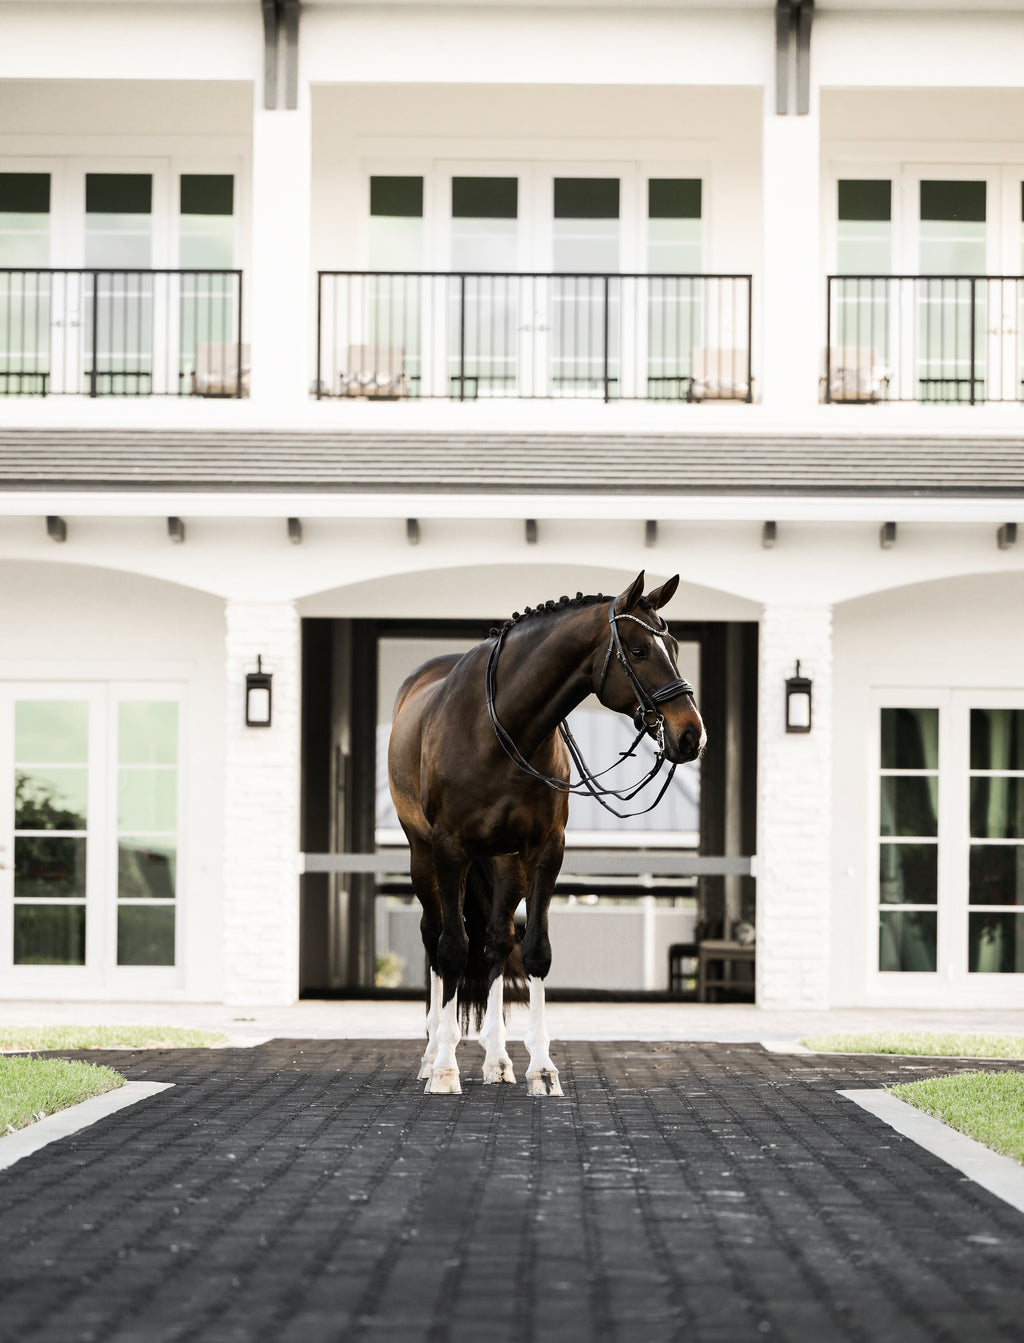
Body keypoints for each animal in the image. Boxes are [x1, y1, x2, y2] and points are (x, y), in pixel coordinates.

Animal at [387, 572, 706, 1097]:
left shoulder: (543, 851)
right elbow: (452, 950)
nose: (690, 735)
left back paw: (497, 1059)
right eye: (639, 651)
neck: (497, 729)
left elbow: (534, 950)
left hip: (504, 862)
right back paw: (432, 1053)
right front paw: (446, 1070)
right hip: (424, 856)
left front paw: (541, 1067)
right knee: (435, 938)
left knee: (496, 941)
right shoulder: (451, 849)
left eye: (675, 647)